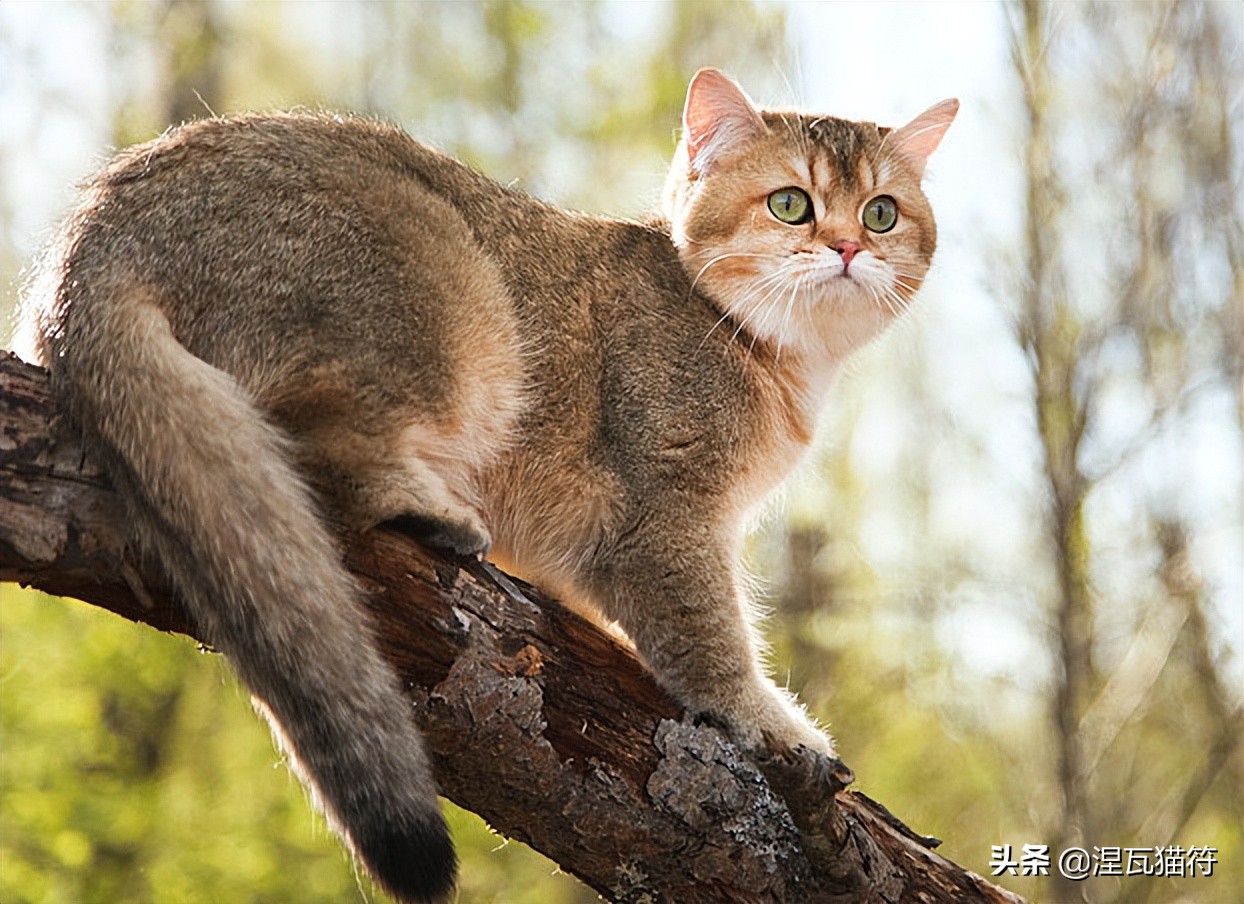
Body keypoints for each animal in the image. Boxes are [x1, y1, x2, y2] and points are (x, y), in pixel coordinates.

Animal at [19, 67, 955, 900]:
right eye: (791, 202)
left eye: (882, 212)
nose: (847, 247)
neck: (766, 354)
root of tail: (98, 231)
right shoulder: (665, 514)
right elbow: (709, 639)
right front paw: (772, 722)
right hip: (447, 291)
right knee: (310, 451)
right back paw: (431, 510)